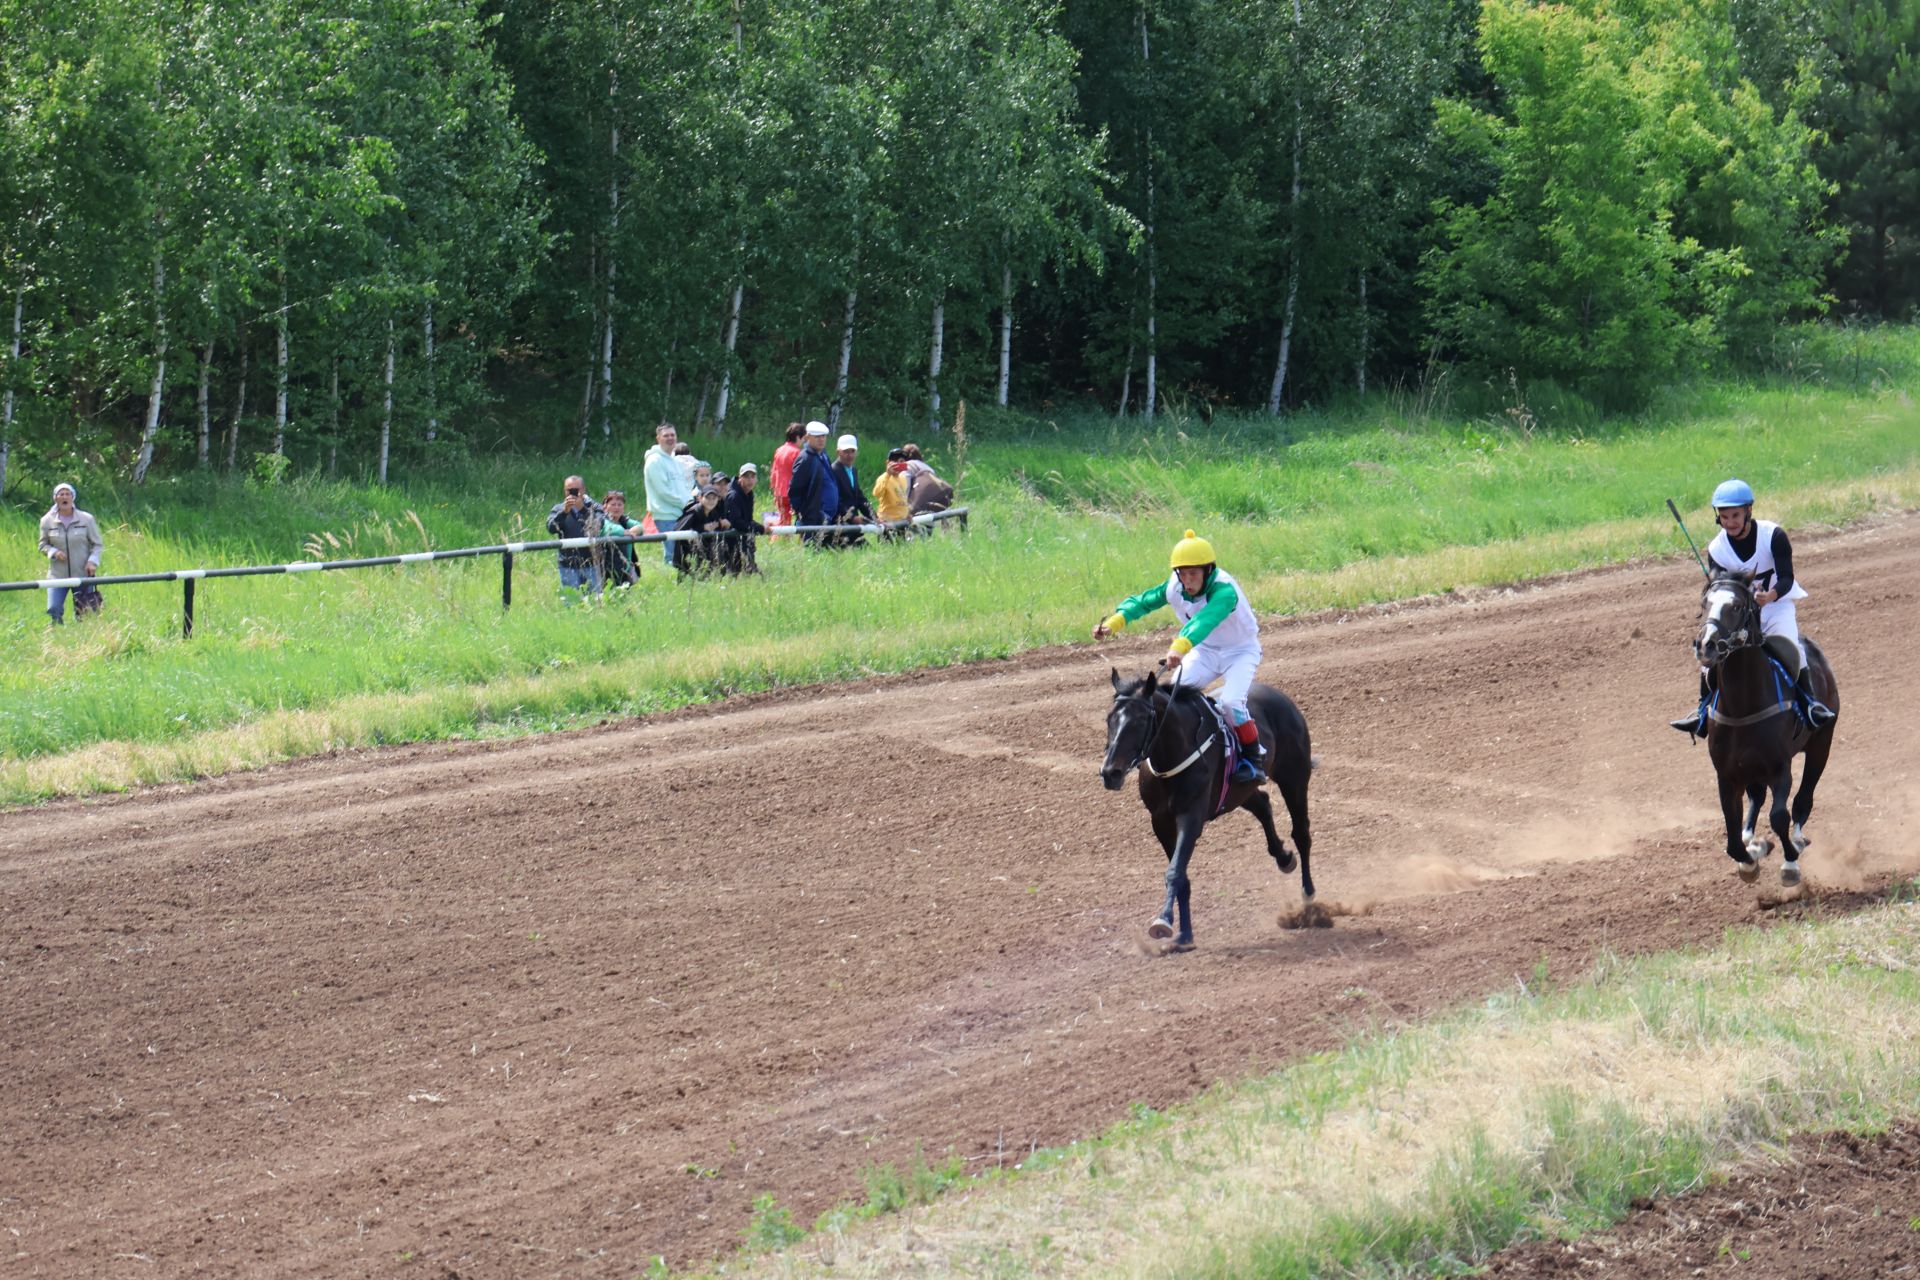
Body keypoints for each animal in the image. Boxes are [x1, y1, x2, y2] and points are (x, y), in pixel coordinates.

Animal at [1105, 671, 1313, 951]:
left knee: (1301, 833)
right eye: (1109, 719)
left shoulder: (1191, 817)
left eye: (1139, 721)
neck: (1174, 752)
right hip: (1239, 792)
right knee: (1263, 804)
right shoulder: (1160, 822)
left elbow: (1175, 871)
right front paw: (1184, 934)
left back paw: (1309, 900)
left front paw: (1163, 922)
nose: (1110, 772)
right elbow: (1180, 874)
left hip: (1294, 778)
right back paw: (1283, 857)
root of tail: (1281, 697)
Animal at [1704, 571, 1835, 886]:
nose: (1706, 645)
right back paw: (1753, 839)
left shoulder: (1779, 767)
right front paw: (1751, 858)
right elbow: (1732, 836)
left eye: (1737, 606)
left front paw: (1790, 863)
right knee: (1756, 799)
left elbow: (1779, 816)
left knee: (1803, 800)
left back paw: (1797, 839)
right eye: (1705, 603)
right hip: (1751, 769)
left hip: (1821, 745)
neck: (1743, 708)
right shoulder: (1727, 775)